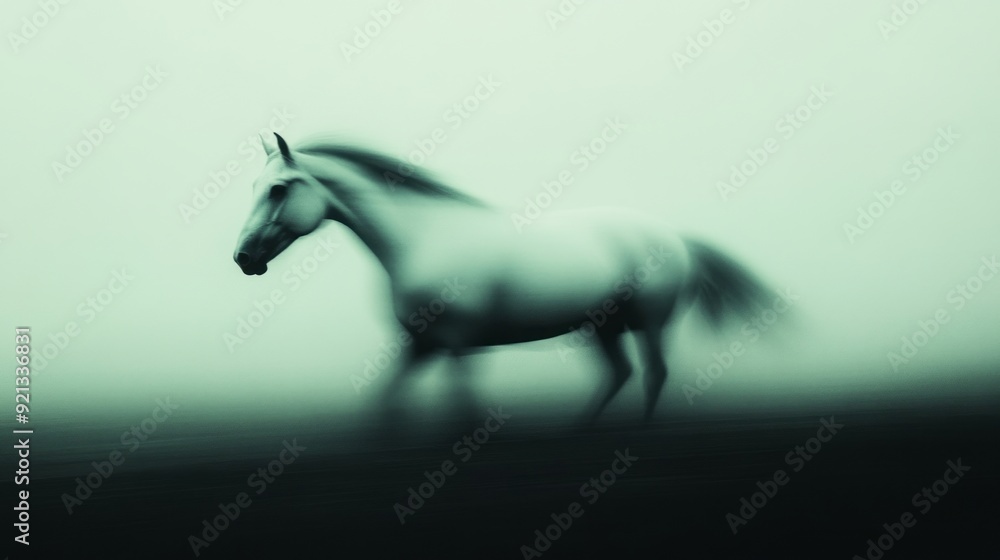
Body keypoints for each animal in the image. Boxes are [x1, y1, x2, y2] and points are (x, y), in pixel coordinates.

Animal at [233, 132, 774, 425]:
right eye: (255, 186)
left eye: (278, 189)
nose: (243, 257)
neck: (423, 240)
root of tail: (673, 236)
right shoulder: (422, 346)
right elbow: (385, 409)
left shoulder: (456, 346)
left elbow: (463, 415)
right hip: (603, 327)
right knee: (620, 373)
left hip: (649, 323)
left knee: (654, 375)